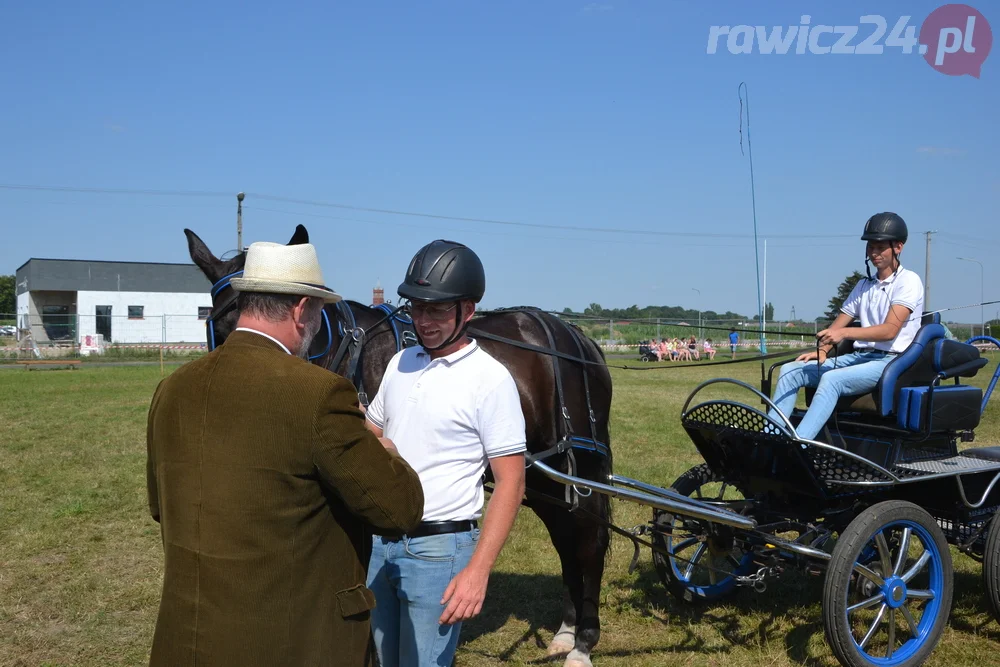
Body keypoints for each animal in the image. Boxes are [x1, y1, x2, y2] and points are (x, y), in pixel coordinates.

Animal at [184, 226, 612, 667]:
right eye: (218, 325)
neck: (348, 354)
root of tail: (575, 336)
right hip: (542, 476)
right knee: (566, 539)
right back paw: (565, 631)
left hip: (580, 465)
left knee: (590, 541)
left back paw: (583, 642)